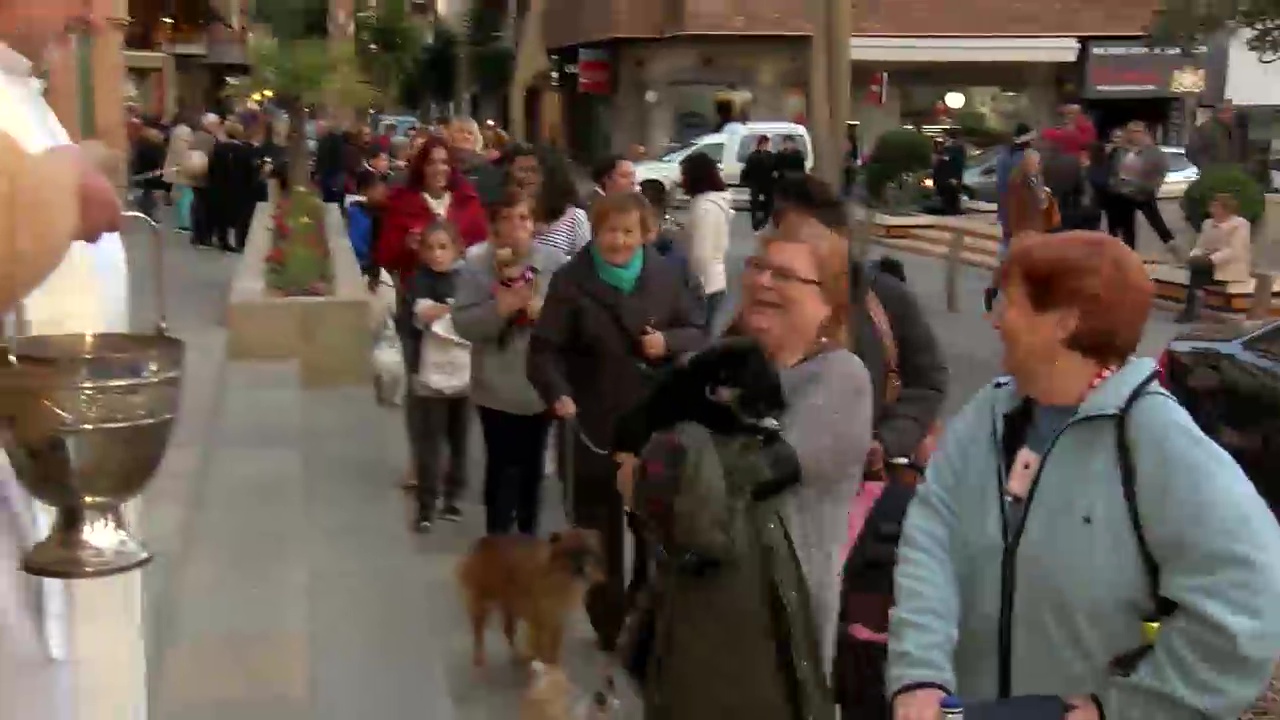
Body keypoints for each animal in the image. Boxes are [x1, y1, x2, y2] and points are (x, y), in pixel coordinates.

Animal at [455, 525, 604, 666]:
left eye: (588, 552)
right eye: (569, 553)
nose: (581, 568)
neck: (561, 580)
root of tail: (484, 541)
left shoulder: (557, 620)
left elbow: (553, 649)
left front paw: (552, 665)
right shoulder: (541, 619)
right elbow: (541, 647)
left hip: (509, 606)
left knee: (508, 631)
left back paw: (517, 655)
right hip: (484, 602)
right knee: (479, 631)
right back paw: (480, 658)